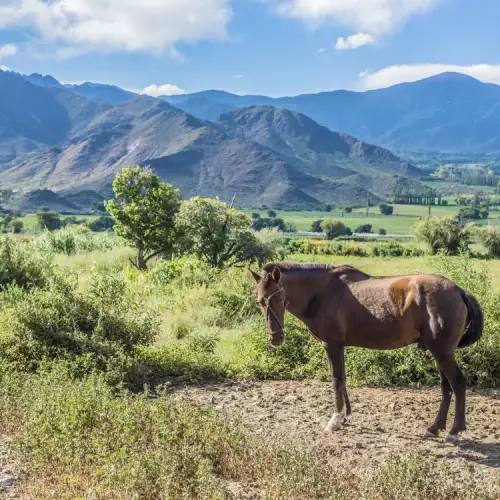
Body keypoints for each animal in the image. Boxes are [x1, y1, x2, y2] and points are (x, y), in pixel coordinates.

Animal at [250, 262, 484, 442]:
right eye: (260, 301)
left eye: (280, 299)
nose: (276, 338)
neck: (322, 292)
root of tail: (458, 291)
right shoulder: (337, 346)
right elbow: (342, 379)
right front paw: (345, 417)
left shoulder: (331, 344)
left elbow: (336, 380)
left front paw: (335, 420)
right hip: (439, 352)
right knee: (446, 387)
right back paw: (435, 428)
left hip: (442, 352)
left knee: (458, 383)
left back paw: (454, 431)